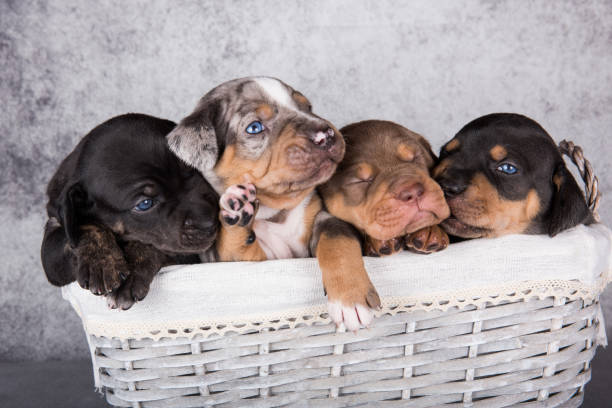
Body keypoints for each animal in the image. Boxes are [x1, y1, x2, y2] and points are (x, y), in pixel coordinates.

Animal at [40, 113, 219, 308]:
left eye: (193, 170)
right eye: (145, 204)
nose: (210, 222)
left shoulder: (187, 255)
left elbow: (148, 245)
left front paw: (130, 275)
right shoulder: (53, 246)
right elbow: (84, 227)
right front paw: (101, 262)